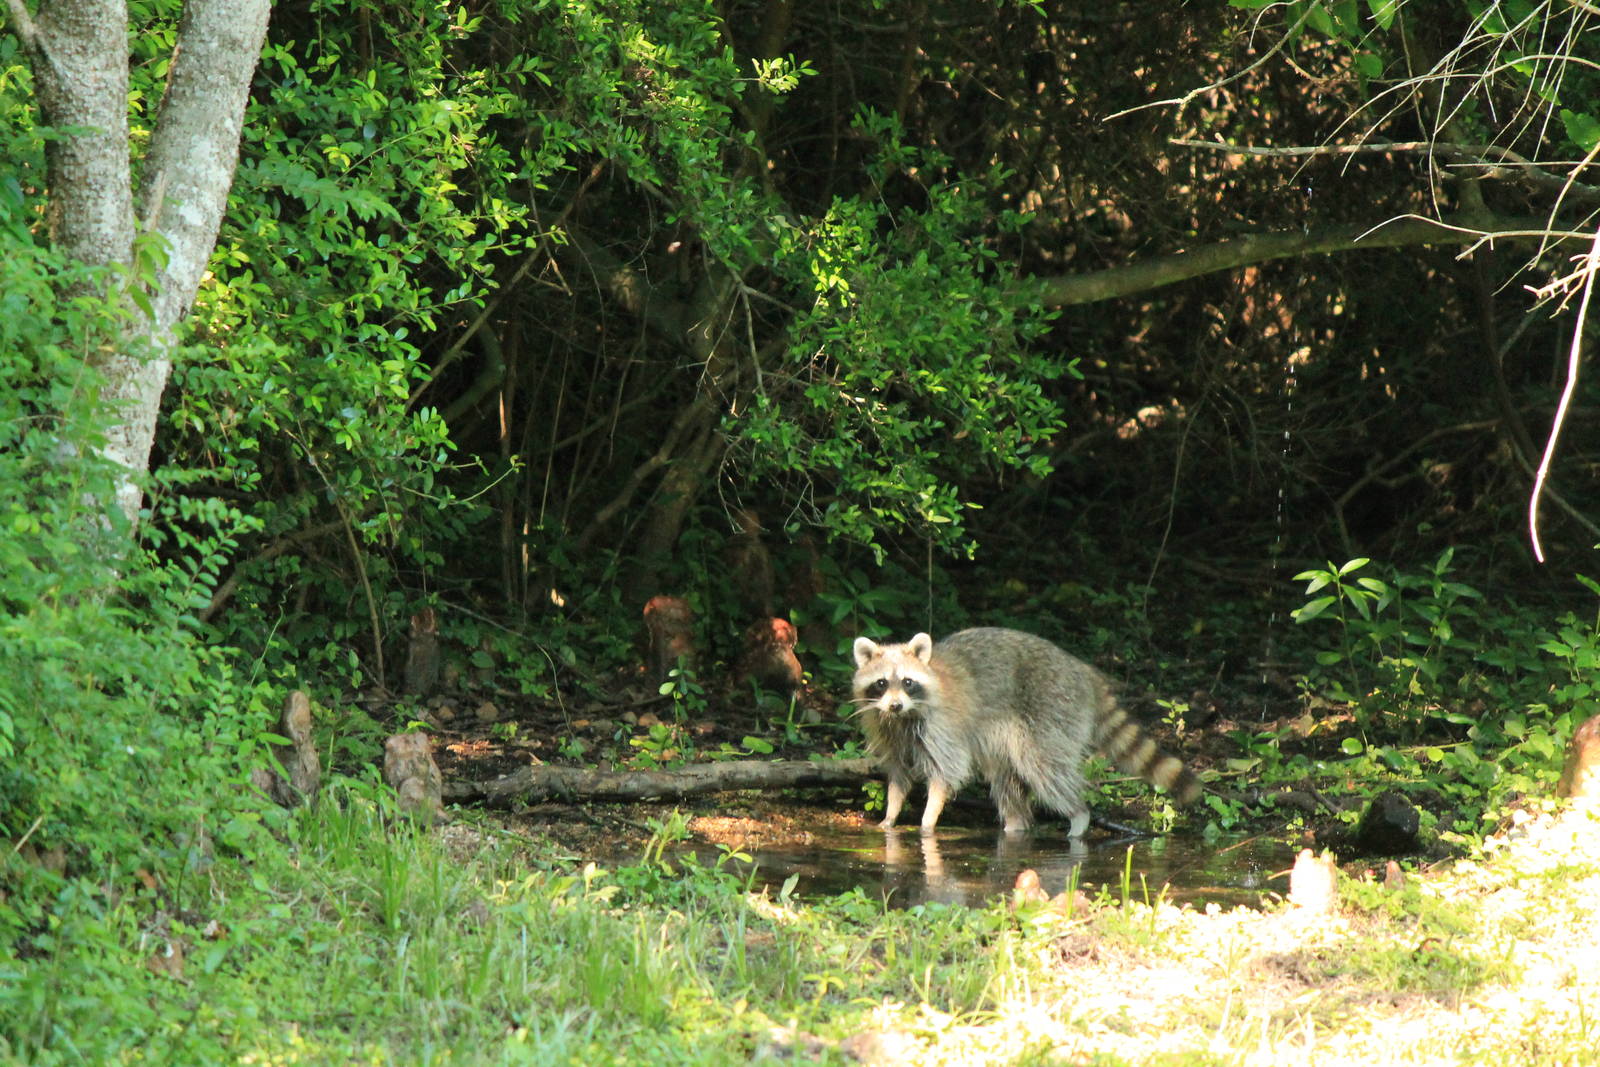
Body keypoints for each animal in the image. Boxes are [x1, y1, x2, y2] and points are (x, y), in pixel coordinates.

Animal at [851, 627, 1201, 835]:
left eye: (908, 682)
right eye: (881, 683)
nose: (895, 704)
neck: (903, 717)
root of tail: (1083, 671)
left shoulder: (942, 727)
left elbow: (946, 772)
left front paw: (929, 818)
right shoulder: (888, 729)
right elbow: (898, 774)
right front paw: (891, 813)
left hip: (1052, 709)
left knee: (1045, 768)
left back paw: (1078, 816)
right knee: (1007, 778)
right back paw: (1015, 826)